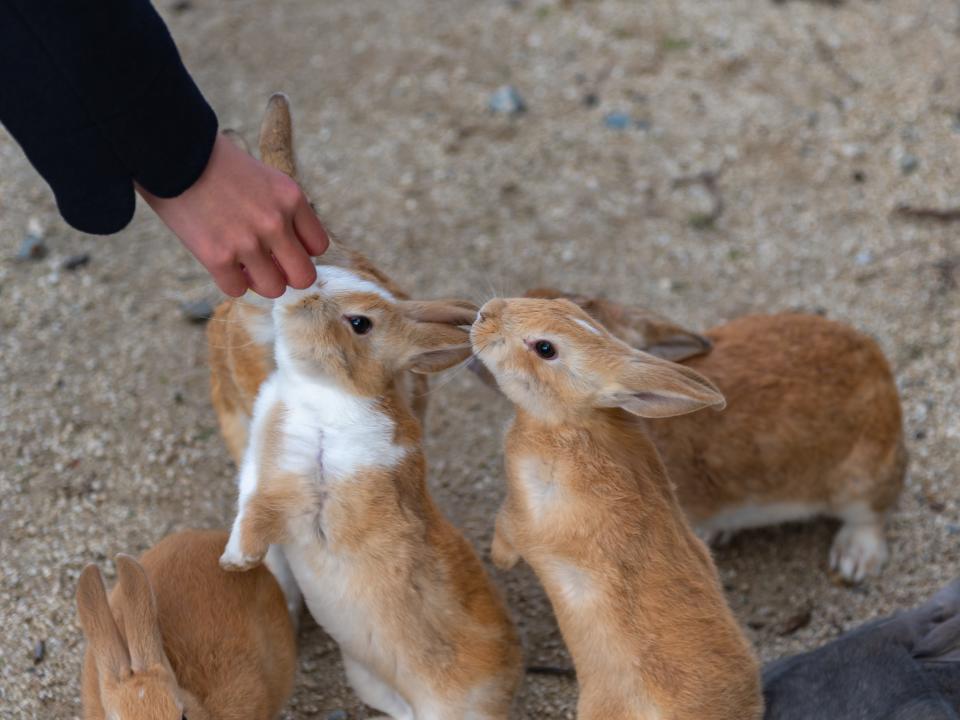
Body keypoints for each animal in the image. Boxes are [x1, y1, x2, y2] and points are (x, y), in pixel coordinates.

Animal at [468, 296, 760, 720]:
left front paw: (498, 560)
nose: (485, 314)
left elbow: (506, 528)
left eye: (545, 348)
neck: (570, 422)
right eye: (563, 303)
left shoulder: (525, 514)